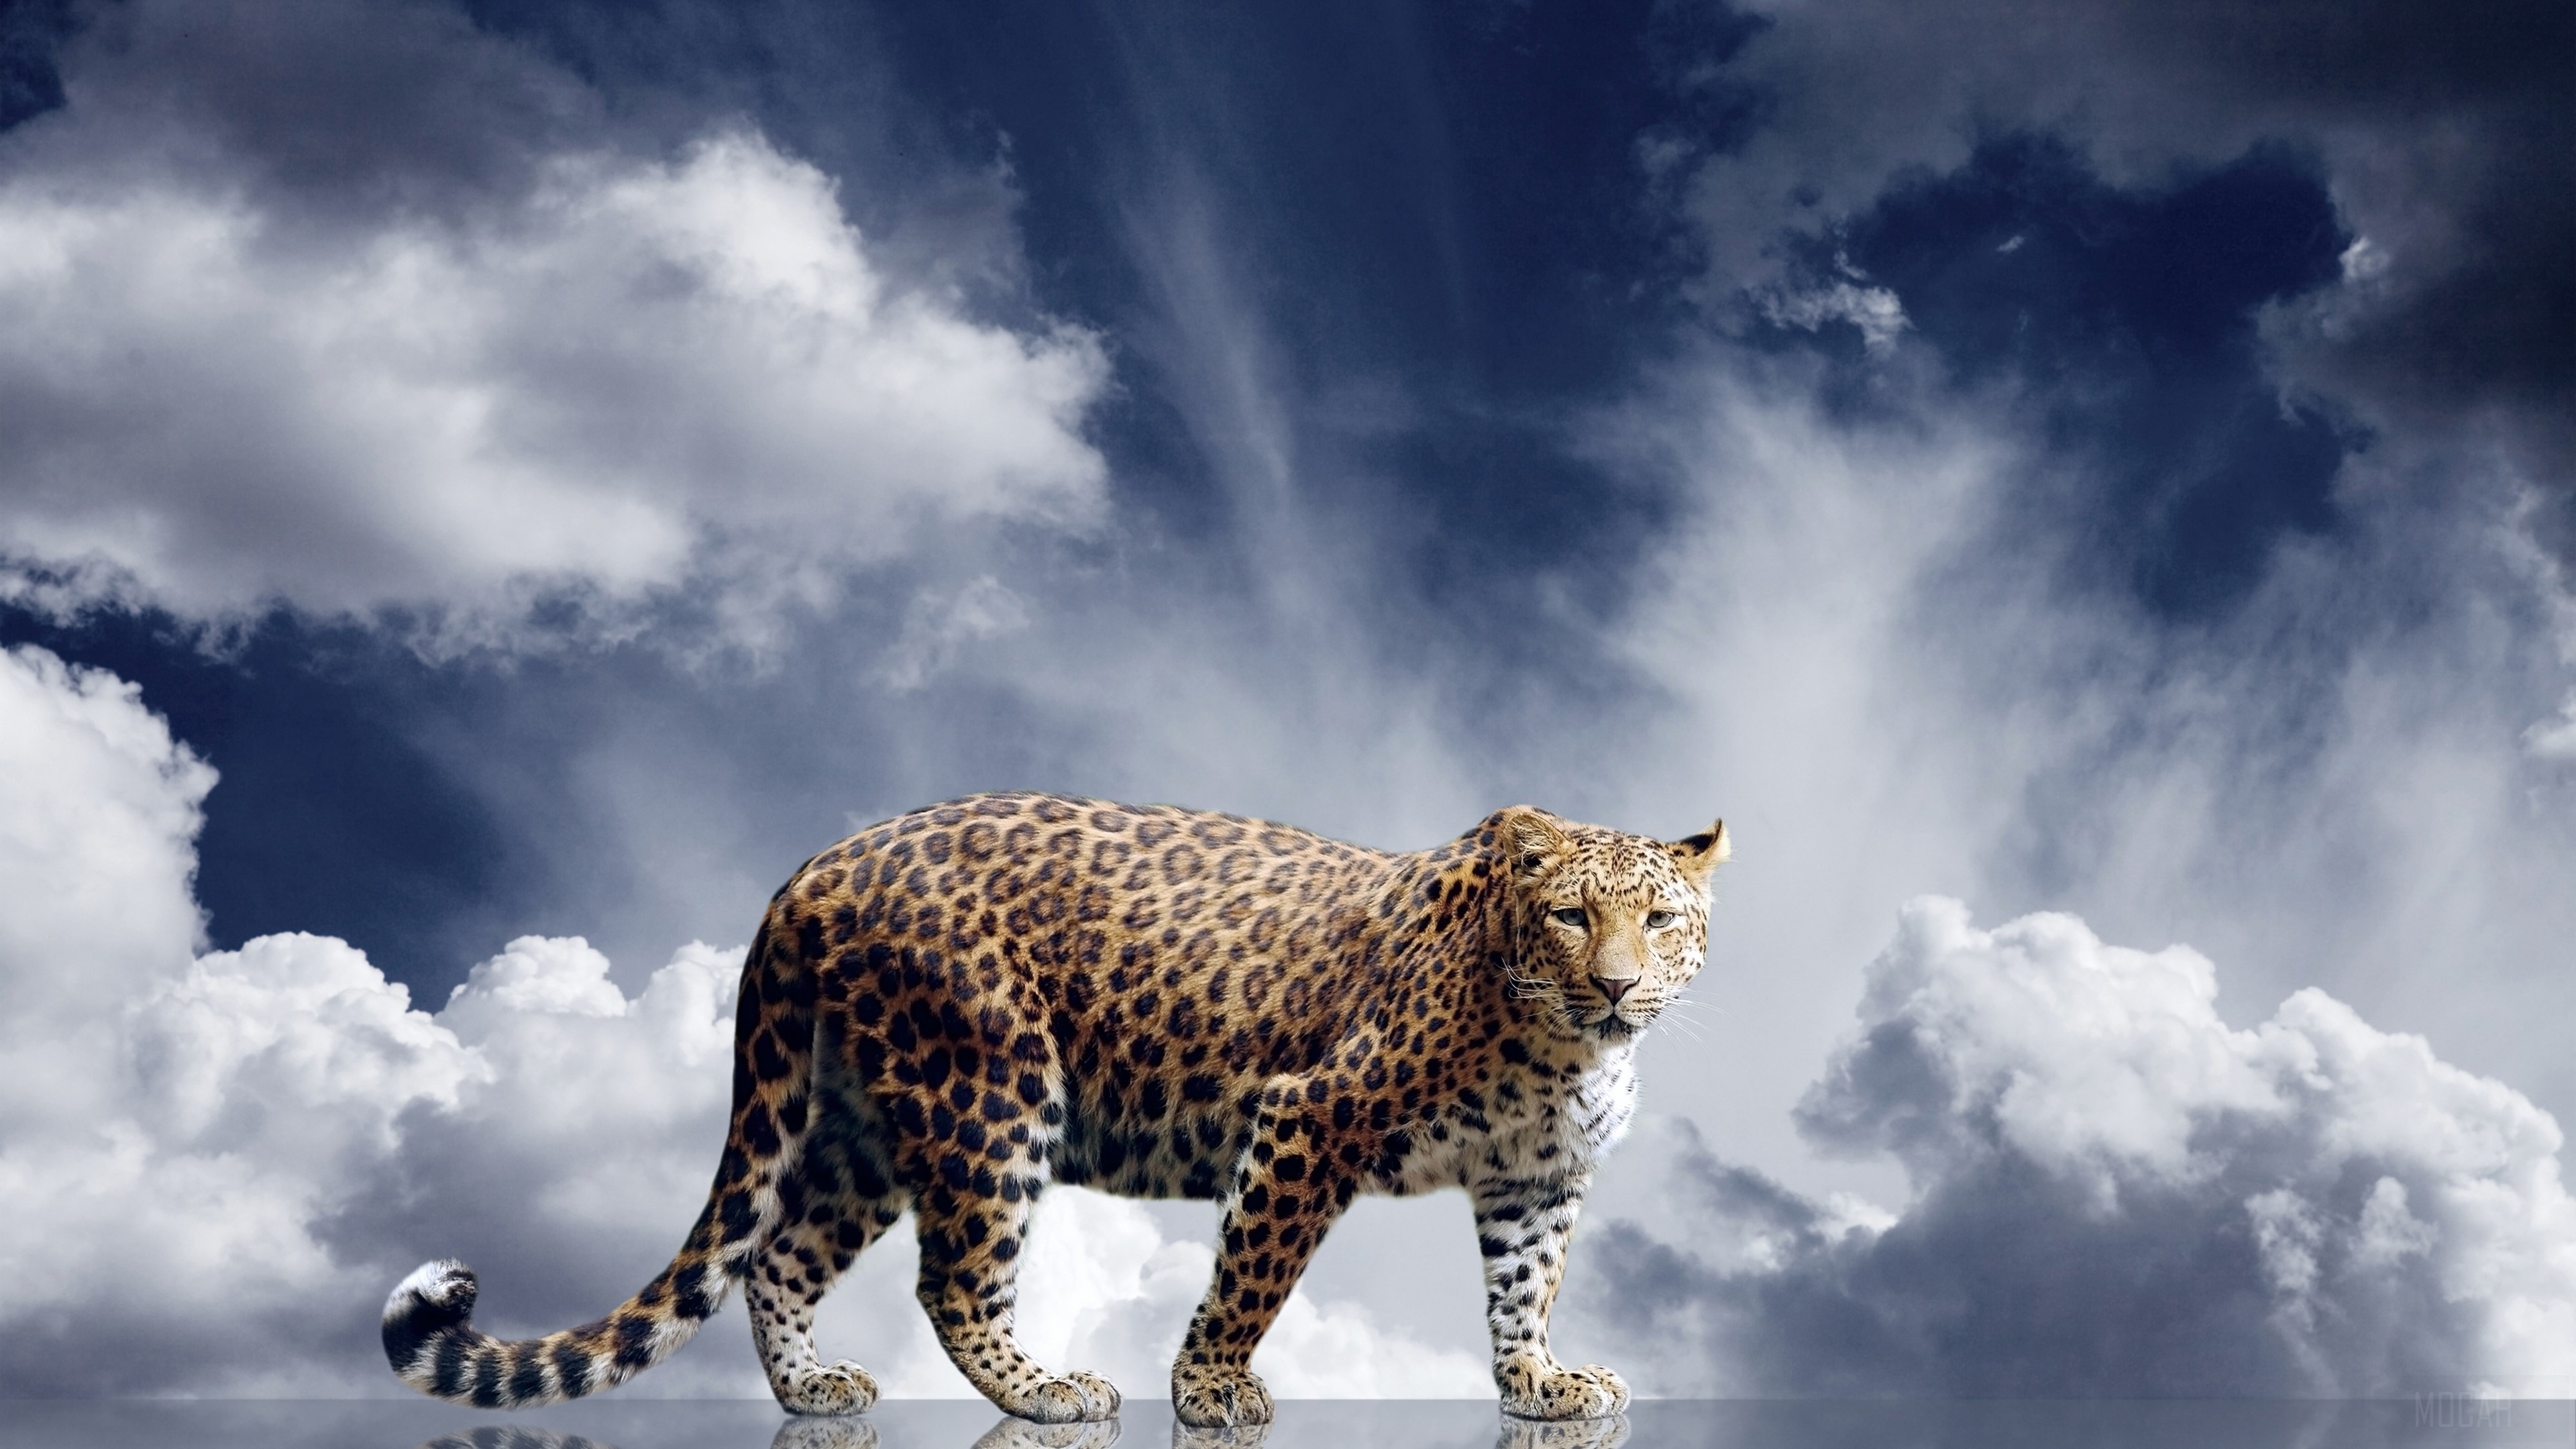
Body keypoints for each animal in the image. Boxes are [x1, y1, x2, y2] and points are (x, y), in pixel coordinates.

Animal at [384, 792, 1728, 1428]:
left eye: (1660, 919)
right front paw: (1211, 1391)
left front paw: (1541, 1384)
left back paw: (813, 1389)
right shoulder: (1309, 1116)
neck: (1563, 1047)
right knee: (953, 1278)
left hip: (868, 1124)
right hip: (990, 1090)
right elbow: (1255, 1271)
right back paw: (1046, 1392)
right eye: (1572, 915)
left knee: (780, 1251)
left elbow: (1524, 1288)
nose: (1619, 984)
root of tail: (810, 869)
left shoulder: (1534, 1179)